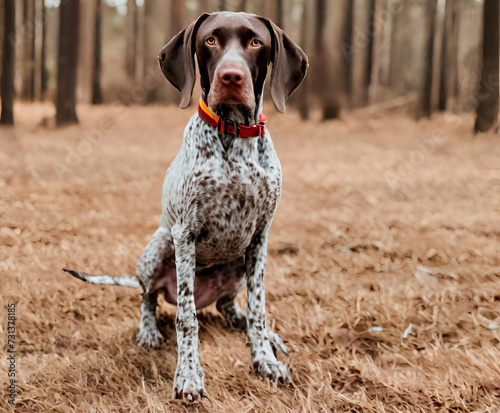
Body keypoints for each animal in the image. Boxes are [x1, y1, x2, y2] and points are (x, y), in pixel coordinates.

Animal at [64, 11, 306, 400]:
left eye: (256, 42)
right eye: (210, 40)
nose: (231, 77)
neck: (234, 134)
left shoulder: (260, 237)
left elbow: (258, 310)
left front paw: (264, 359)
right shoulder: (186, 234)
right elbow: (186, 318)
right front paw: (189, 375)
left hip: (239, 263)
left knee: (229, 305)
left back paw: (260, 332)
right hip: (160, 246)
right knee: (148, 297)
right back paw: (149, 331)